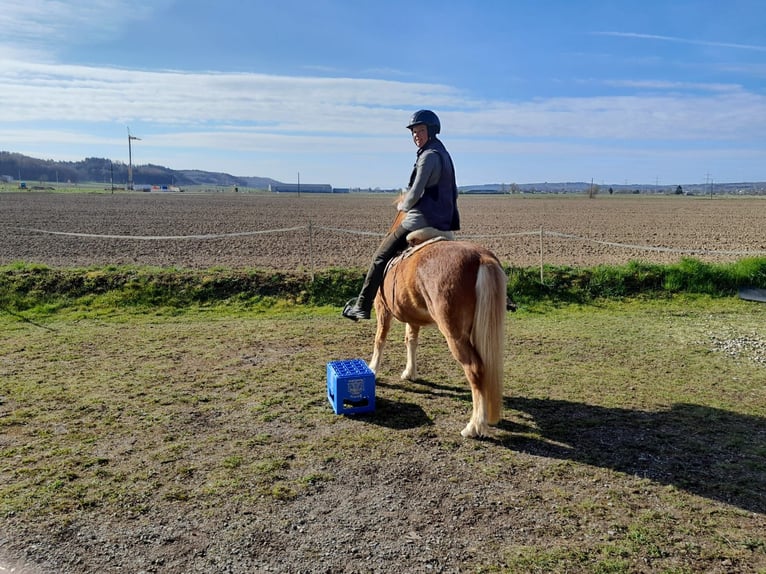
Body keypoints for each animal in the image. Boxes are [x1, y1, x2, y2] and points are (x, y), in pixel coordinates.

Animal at [367, 209, 508, 438]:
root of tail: (481, 258)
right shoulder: (412, 317)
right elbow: (410, 341)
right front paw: (410, 373)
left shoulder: (382, 309)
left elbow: (380, 339)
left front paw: (373, 369)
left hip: (455, 335)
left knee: (475, 368)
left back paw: (473, 426)